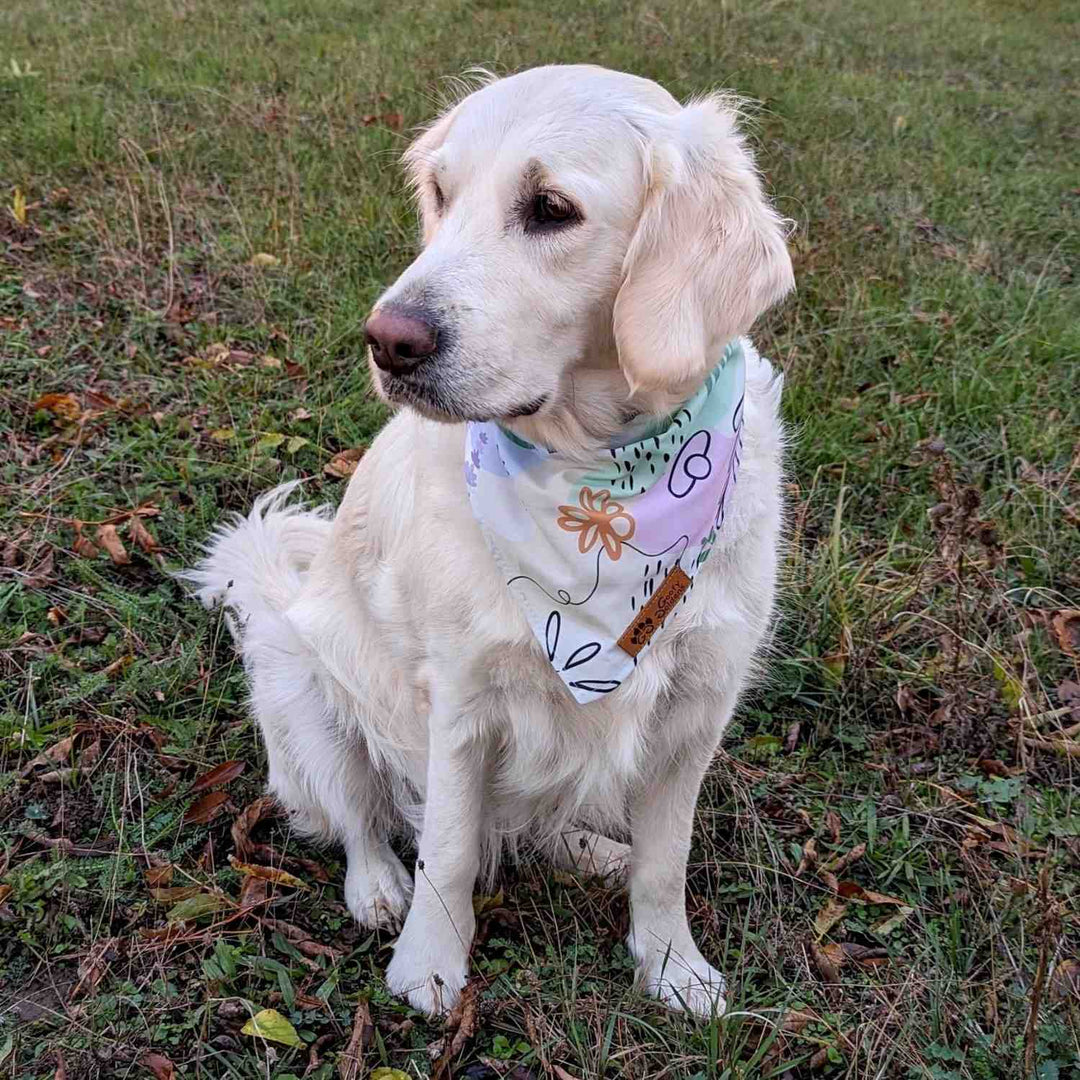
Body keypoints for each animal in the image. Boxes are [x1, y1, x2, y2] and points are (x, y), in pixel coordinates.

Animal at [185, 63, 794, 1015]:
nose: (387, 341)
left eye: (550, 208)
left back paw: (591, 850)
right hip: (302, 689)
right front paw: (428, 964)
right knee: (360, 819)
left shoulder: (699, 704)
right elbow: (449, 847)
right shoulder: (462, 699)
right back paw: (377, 887)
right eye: (441, 193)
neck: (602, 477)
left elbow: (668, 861)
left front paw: (671, 966)